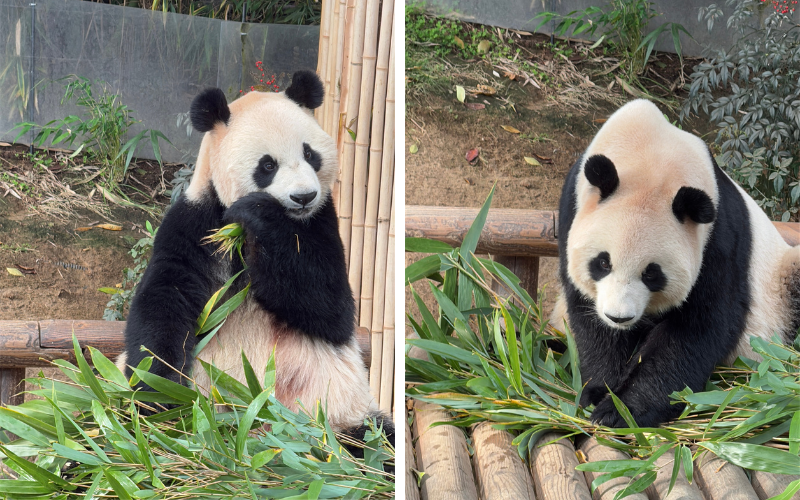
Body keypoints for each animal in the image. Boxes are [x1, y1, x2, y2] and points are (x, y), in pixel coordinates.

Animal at [115, 70, 394, 450]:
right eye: (267, 165)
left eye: (310, 154)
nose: (304, 196)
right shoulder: (197, 223)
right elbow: (165, 298)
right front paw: (158, 392)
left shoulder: (323, 220)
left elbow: (332, 309)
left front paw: (261, 214)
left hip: (342, 413)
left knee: (376, 438)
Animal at [552, 99, 796, 428]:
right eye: (602, 263)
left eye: (652, 274)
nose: (619, 317)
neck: (652, 154)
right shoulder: (572, 207)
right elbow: (589, 318)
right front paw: (598, 391)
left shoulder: (719, 239)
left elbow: (697, 328)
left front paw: (620, 410)